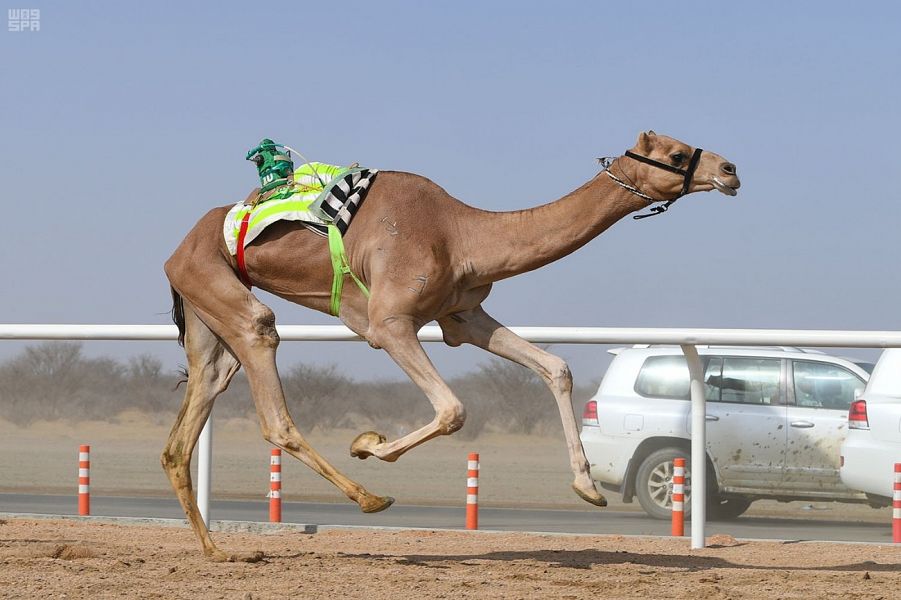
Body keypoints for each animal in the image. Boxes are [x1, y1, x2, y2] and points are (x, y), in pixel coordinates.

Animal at [163, 131, 740, 556]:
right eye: (677, 154)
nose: (731, 170)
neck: (460, 234)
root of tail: (177, 248)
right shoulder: (389, 323)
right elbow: (453, 409)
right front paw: (367, 444)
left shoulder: (463, 316)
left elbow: (554, 367)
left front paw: (588, 486)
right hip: (216, 282)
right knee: (269, 381)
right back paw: (370, 498)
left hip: (206, 310)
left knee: (195, 410)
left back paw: (217, 551)